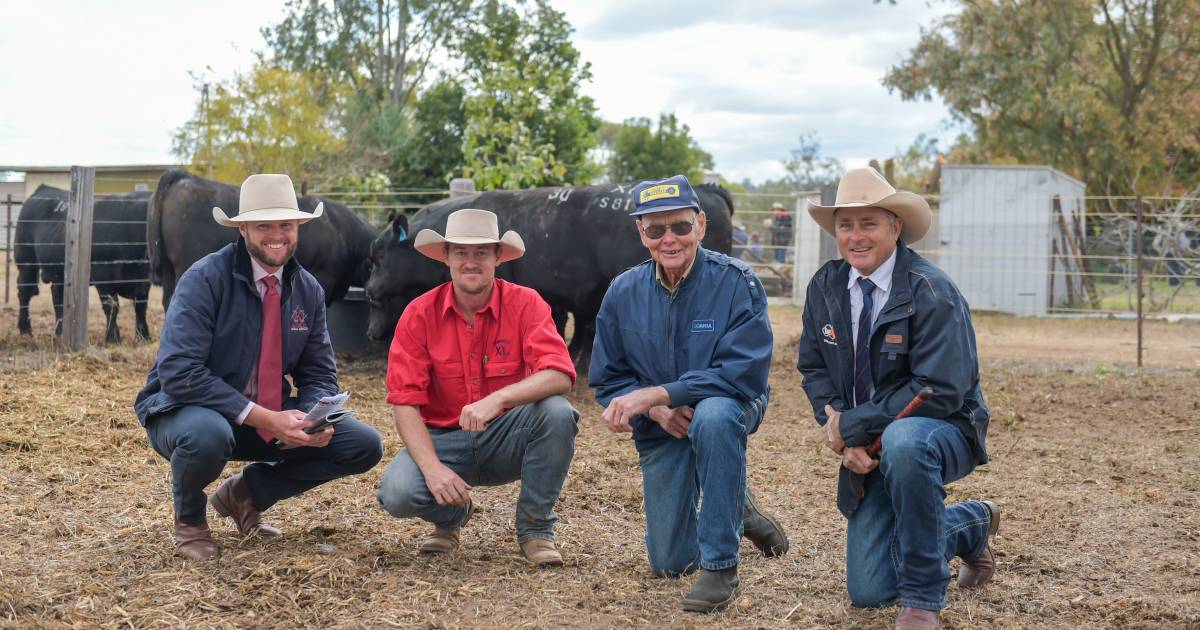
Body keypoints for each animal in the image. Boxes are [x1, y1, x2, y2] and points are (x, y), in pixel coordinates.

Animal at [16, 186, 153, 343]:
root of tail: (43, 188)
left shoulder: (143, 280)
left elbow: (141, 307)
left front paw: (144, 337)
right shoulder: (103, 276)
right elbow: (112, 307)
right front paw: (113, 338)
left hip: (60, 271)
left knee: (58, 295)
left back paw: (60, 331)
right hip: (26, 261)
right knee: (25, 292)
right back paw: (25, 330)